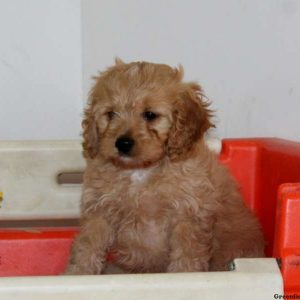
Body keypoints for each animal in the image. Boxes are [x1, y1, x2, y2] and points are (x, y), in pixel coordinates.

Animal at [66, 58, 264, 274]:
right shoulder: (99, 211)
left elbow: (186, 255)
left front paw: (183, 275)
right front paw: (78, 274)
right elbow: (87, 245)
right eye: (110, 114)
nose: (123, 143)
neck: (140, 171)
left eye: (150, 115)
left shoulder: (188, 216)